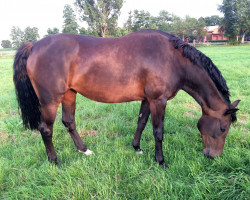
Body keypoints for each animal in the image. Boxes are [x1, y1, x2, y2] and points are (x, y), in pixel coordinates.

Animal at [13, 29, 240, 167]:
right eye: (223, 128)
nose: (213, 156)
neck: (172, 59)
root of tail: (34, 46)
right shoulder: (158, 100)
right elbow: (158, 131)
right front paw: (160, 161)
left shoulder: (148, 99)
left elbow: (141, 122)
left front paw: (137, 148)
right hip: (50, 101)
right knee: (46, 129)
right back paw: (54, 161)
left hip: (69, 95)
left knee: (69, 122)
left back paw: (84, 150)